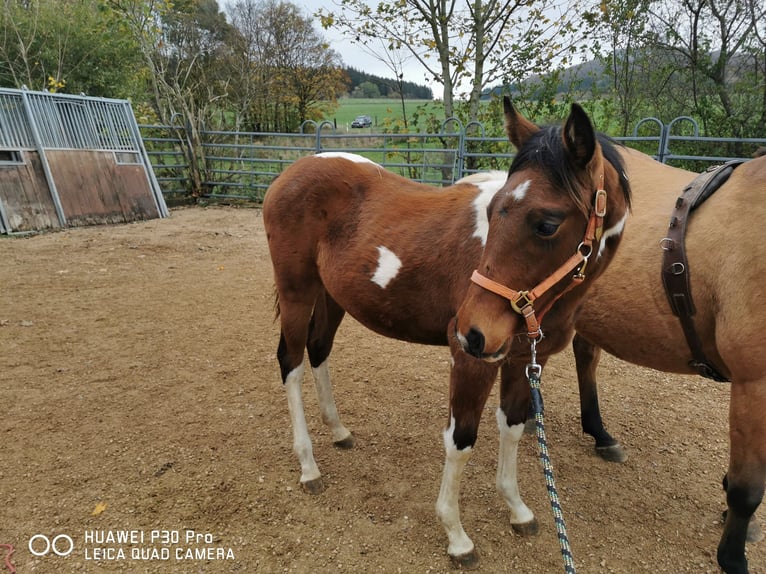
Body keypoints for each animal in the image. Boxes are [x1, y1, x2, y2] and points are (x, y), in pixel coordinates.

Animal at [263, 96, 632, 567]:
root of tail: (293, 171)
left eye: (547, 223)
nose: (472, 330)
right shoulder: (472, 361)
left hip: (331, 298)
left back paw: (339, 432)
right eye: (492, 213)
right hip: (298, 292)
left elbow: (512, 427)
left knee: (318, 349)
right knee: (290, 362)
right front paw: (456, 535)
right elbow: (461, 440)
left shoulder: (523, 359)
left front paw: (517, 509)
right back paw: (308, 465)